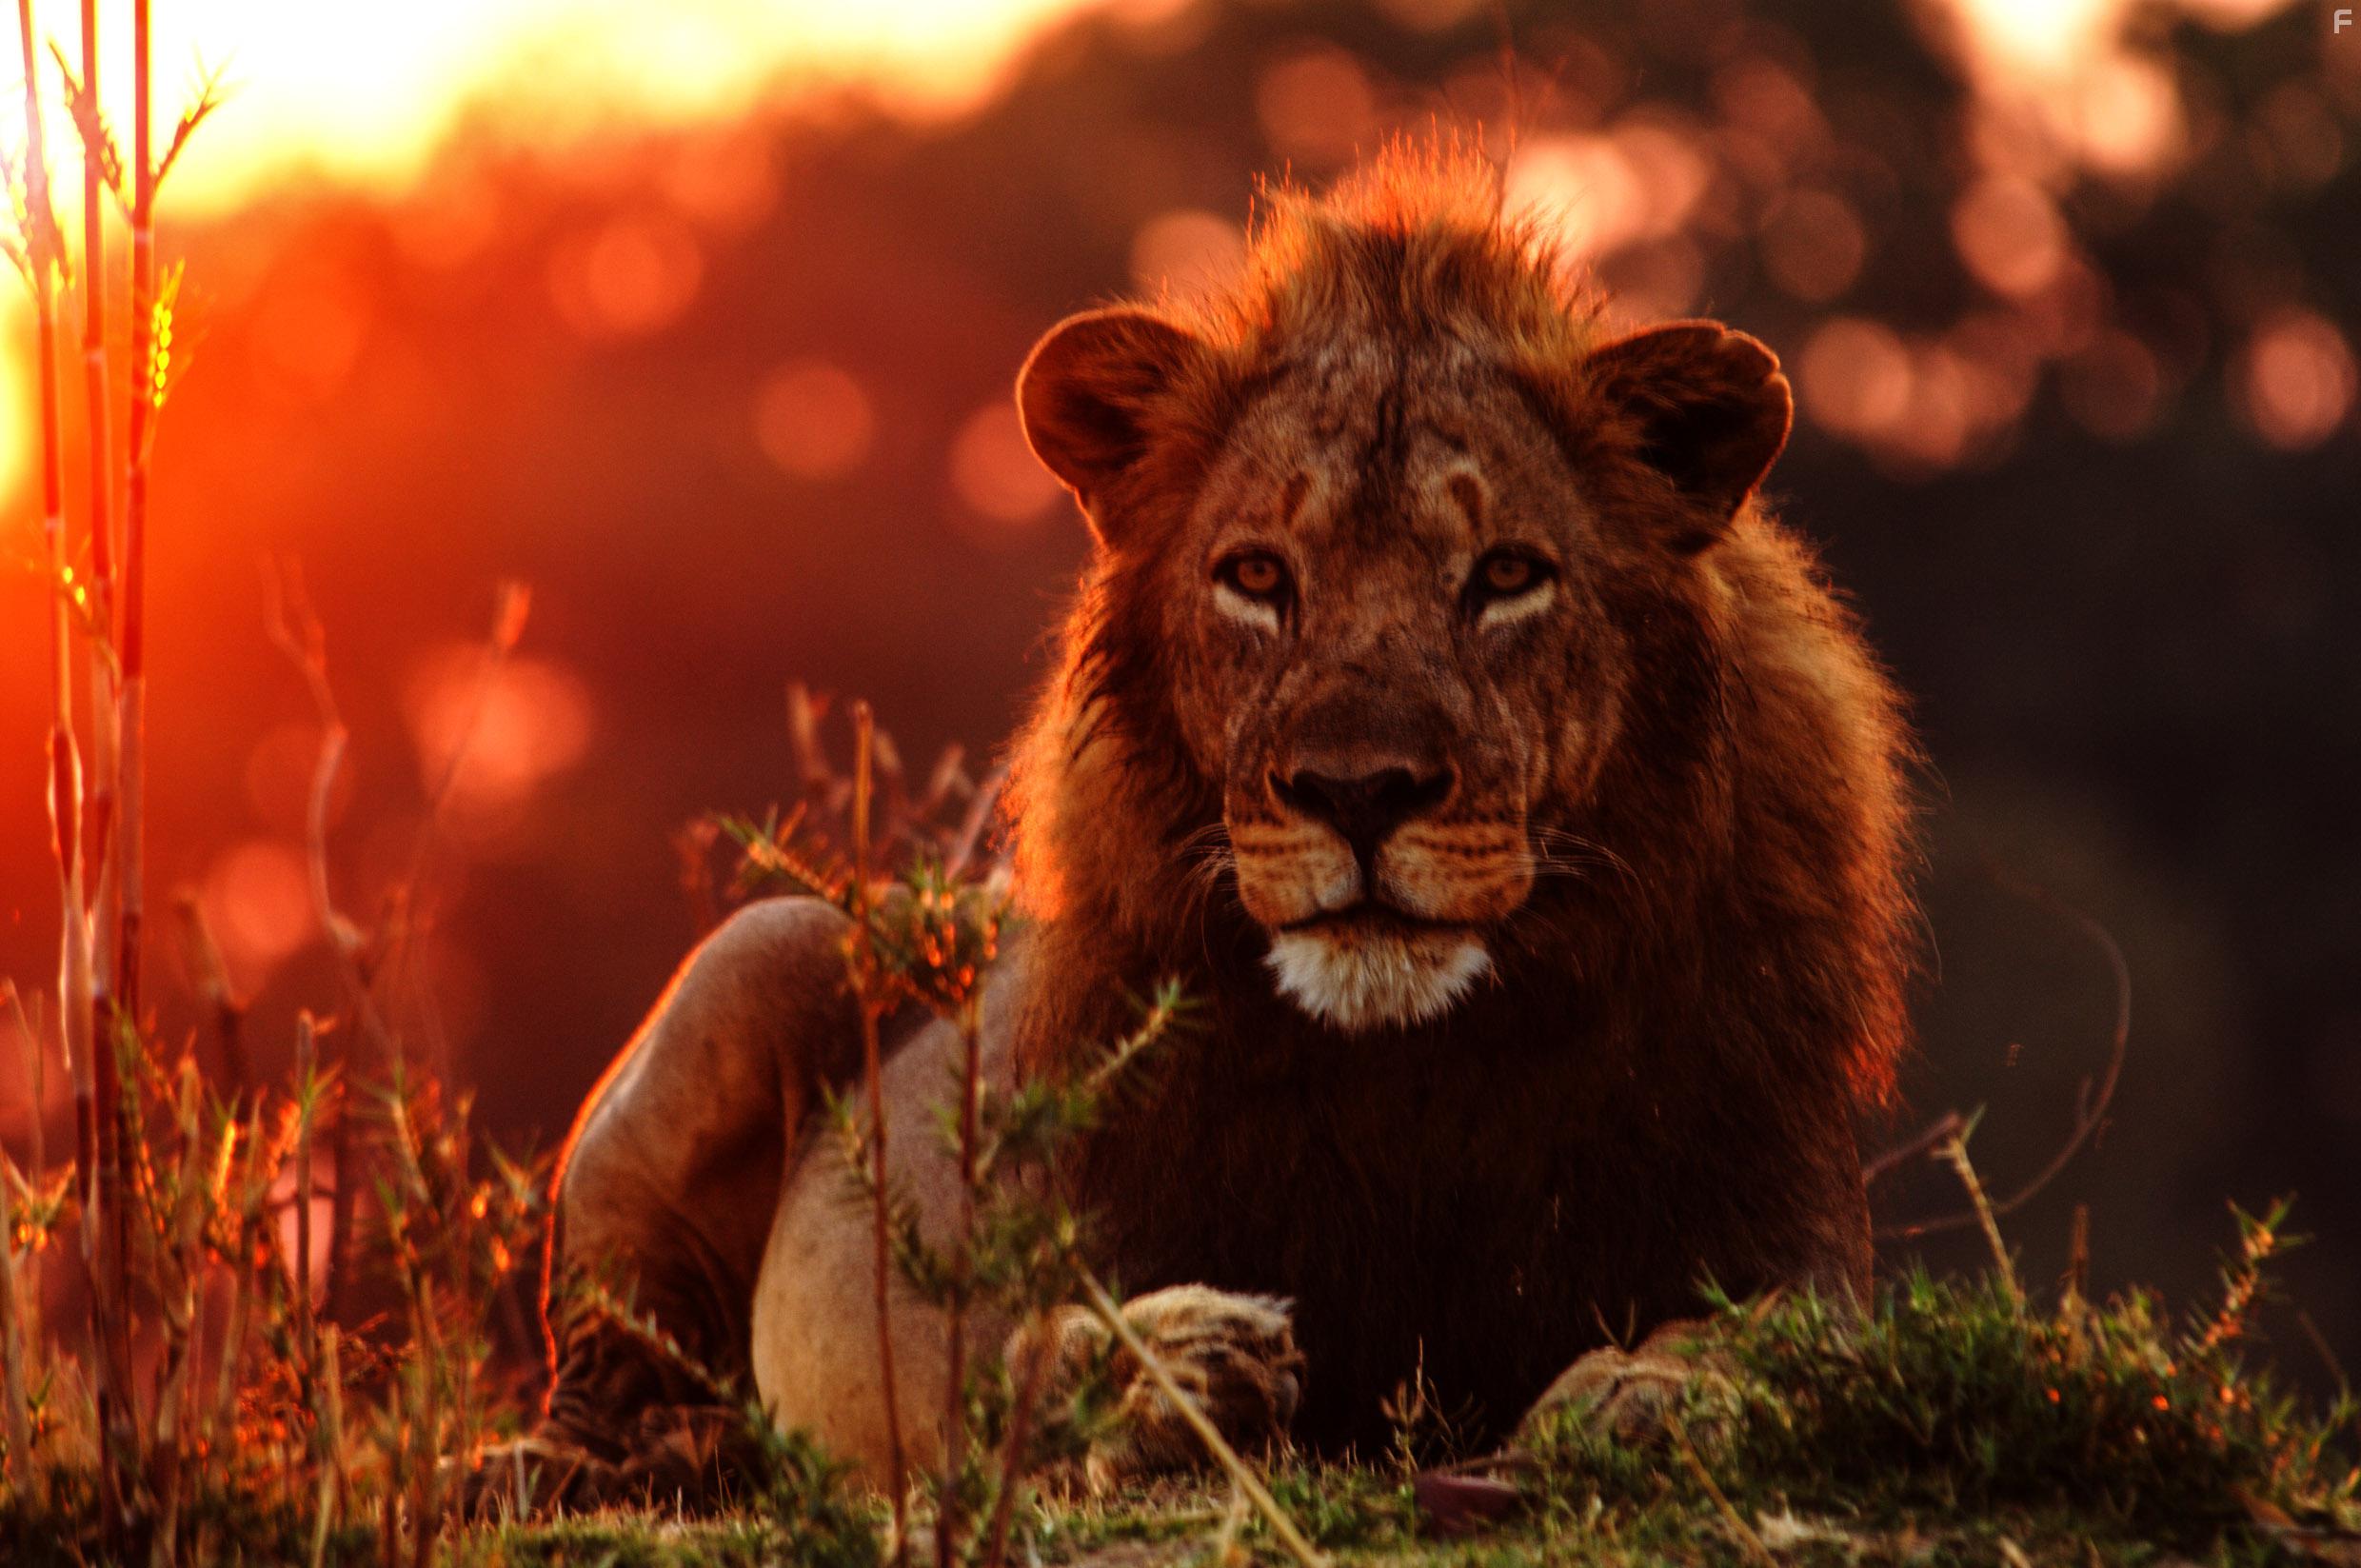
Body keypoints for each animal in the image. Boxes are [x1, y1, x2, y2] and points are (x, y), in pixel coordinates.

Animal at [529, 147, 1914, 1498]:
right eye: (1255, 575)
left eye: (1508, 574)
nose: (1359, 790)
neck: (1413, 1073)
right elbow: (1019, 1351)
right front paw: (1171, 1361)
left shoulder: (1784, 1221)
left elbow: (1782, 1335)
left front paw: (1649, 1389)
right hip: (747, 966)